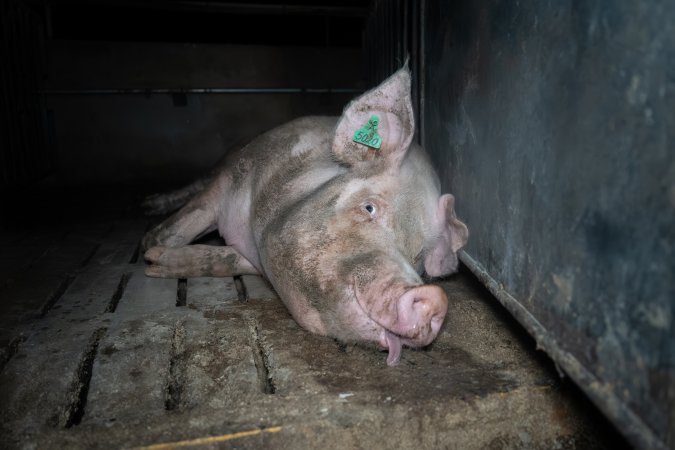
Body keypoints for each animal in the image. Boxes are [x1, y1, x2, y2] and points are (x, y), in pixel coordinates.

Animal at [142, 67, 469, 366]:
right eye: (369, 207)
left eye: (418, 255)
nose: (435, 299)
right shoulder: (229, 182)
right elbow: (187, 222)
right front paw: (150, 253)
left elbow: (223, 261)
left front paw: (156, 262)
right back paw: (150, 206)